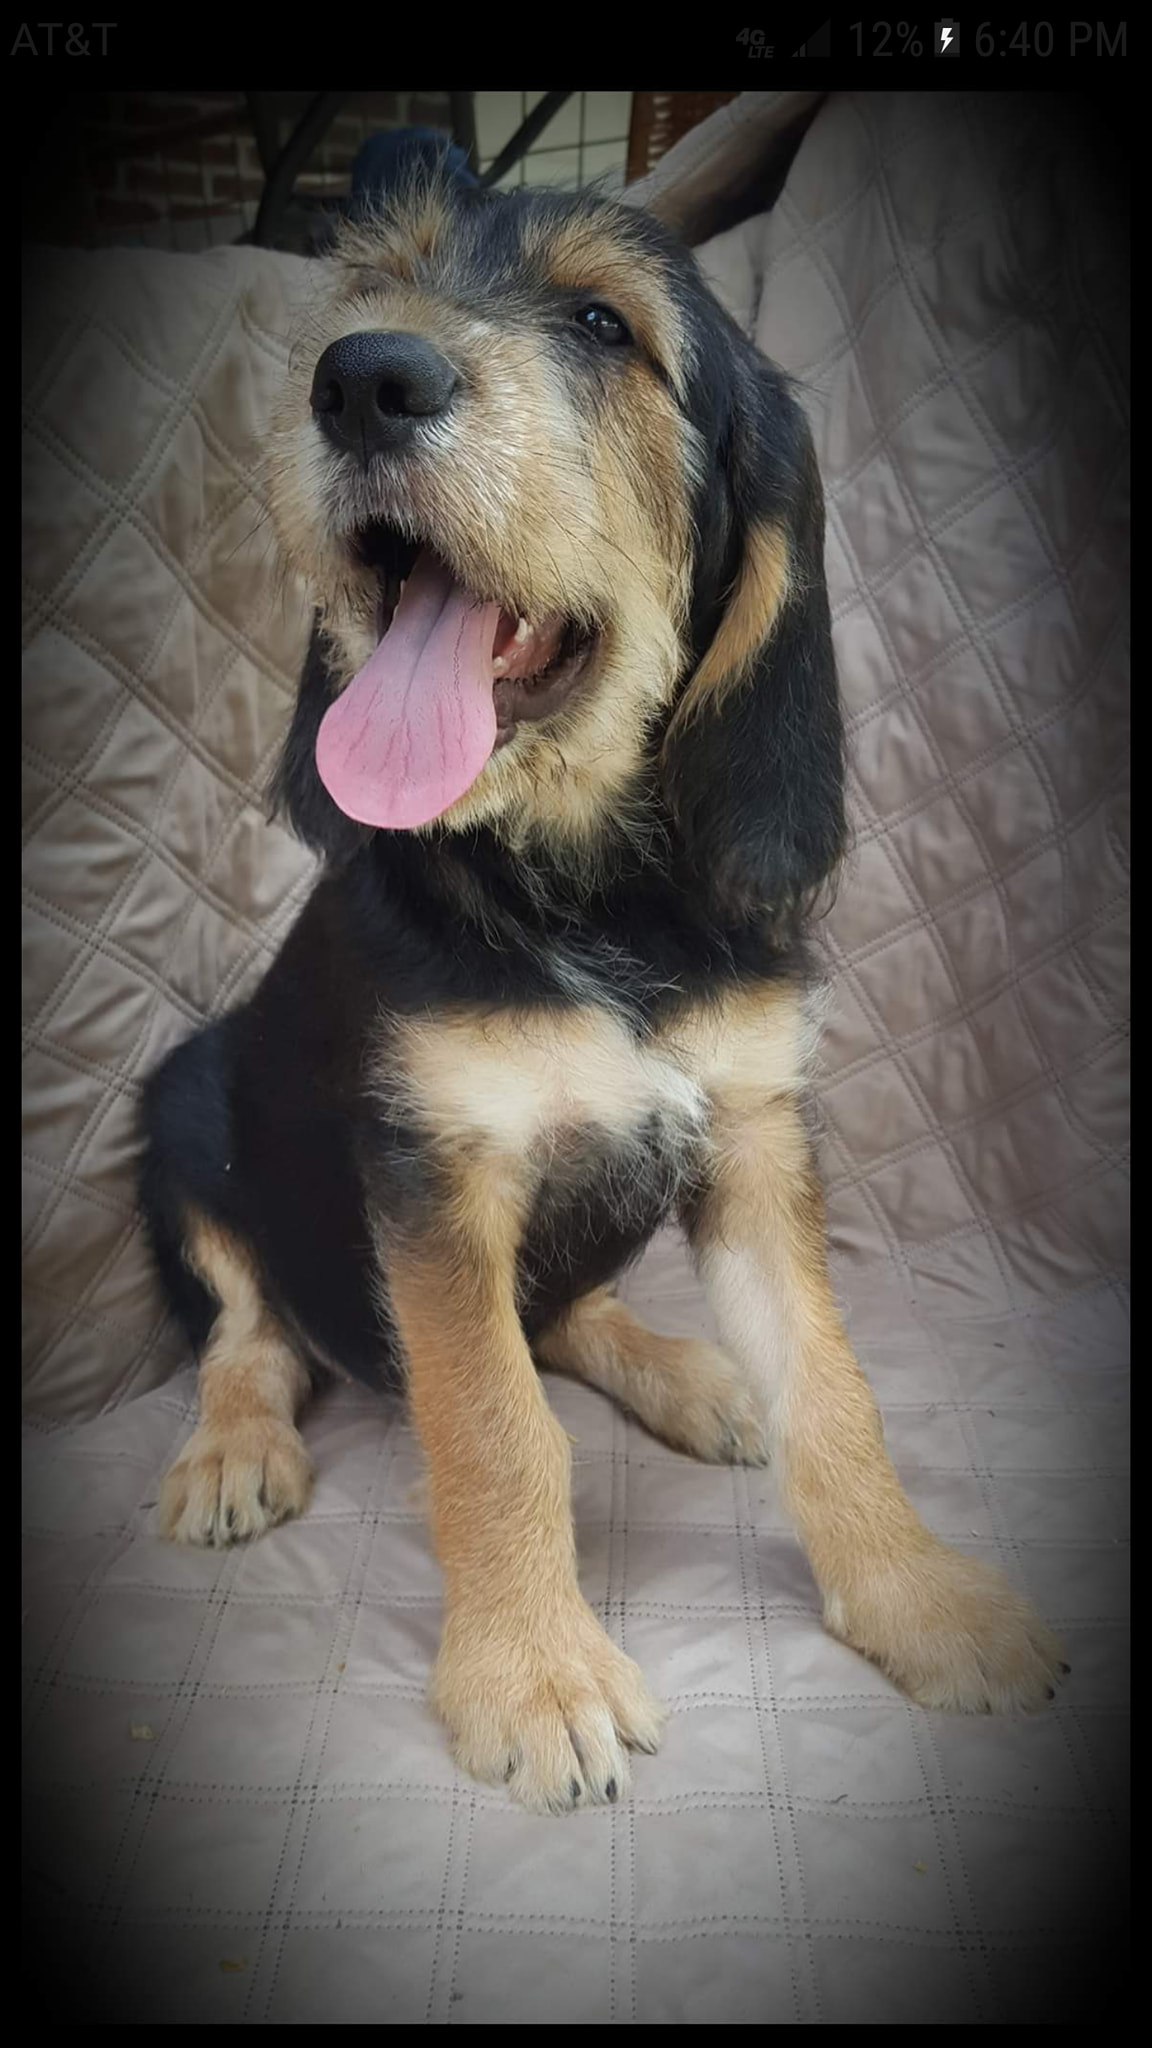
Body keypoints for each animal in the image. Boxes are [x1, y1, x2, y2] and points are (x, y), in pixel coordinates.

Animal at [139, 172, 1065, 1810]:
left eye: (599, 324)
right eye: (372, 294)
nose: (359, 378)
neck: (589, 888)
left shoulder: (754, 1130)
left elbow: (834, 1389)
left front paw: (919, 1594)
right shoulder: (435, 1171)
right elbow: (496, 1428)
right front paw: (536, 1673)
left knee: (571, 1309)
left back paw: (692, 1375)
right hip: (187, 1095)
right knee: (251, 1327)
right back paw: (236, 1446)